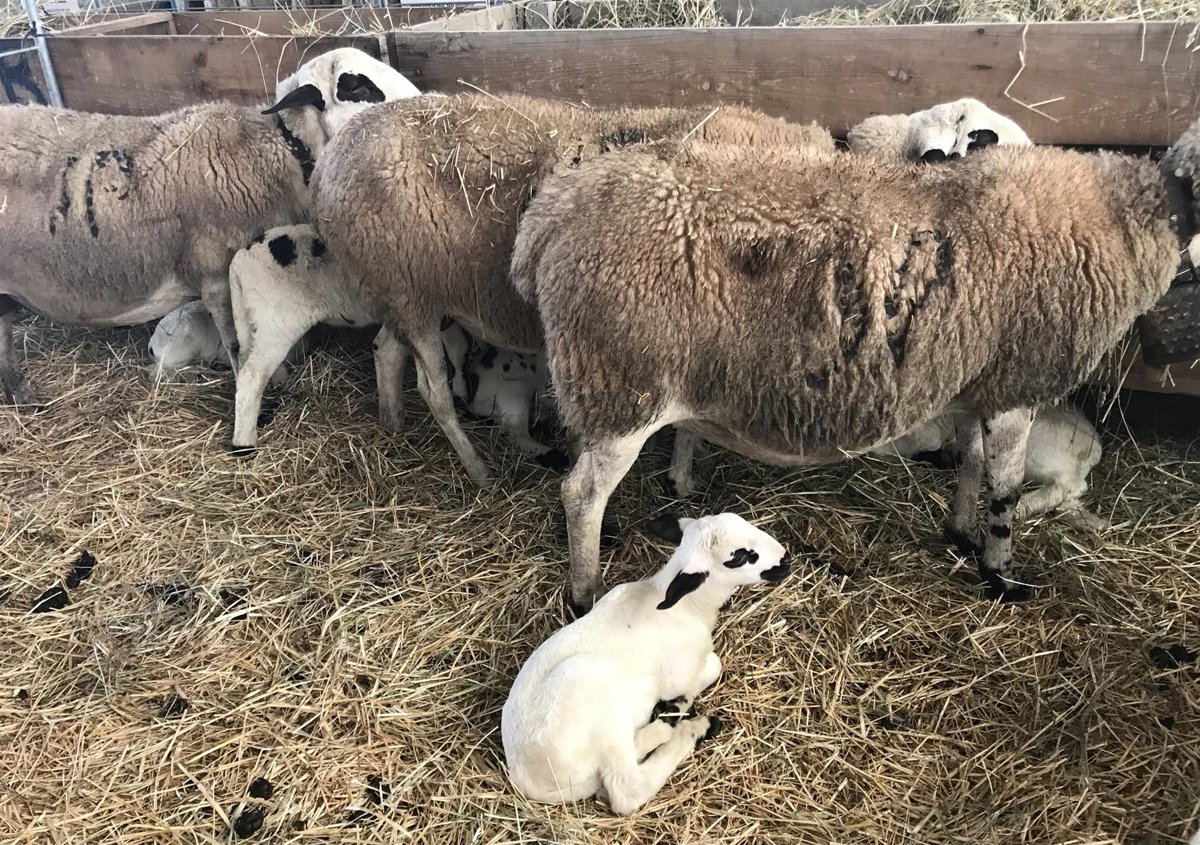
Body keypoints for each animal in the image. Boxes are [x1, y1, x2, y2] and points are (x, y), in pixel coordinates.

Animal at [0, 47, 419, 409]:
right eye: (356, 87)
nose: (421, 107)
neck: (276, 152)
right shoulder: (218, 277)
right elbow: (238, 346)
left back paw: (23, 397)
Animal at [226, 223, 568, 467]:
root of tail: (239, 262)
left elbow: (449, 349)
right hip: (277, 321)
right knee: (252, 375)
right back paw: (244, 443)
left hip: (252, 321)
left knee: (243, 360)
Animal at [311, 93, 833, 487]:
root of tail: (330, 158)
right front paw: (682, 474)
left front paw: (683, 476)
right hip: (408, 290)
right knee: (434, 389)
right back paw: (478, 471)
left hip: (400, 288)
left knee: (385, 350)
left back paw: (393, 423)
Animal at [501, 511, 791, 814]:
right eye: (739, 557)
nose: (786, 559)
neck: (687, 608)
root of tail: (534, 781)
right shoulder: (679, 673)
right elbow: (712, 666)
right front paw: (679, 704)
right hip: (596, 700)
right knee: (626, 789)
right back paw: (688, 727)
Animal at [511, 137, 1187, 609]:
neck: (1124, 212)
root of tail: (550, 214)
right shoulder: (1019, 381)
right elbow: (1005, 489)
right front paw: (1000, 573)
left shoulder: (978, 380)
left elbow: (971, 465)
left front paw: (961, 534)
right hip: (625, 383)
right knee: (581, 493)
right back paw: (583, 591)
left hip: (605, 380)